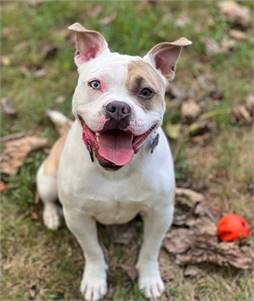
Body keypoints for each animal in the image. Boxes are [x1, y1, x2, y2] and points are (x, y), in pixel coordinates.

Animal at [35, 23, 190, 300]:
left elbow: (150, 250)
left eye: (146, 92)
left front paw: (149, 279)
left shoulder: (160, 213)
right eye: (95, 84)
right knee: (48, 199)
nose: (118, 108)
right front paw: (95, 280)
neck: (117, 171)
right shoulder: (78, 217)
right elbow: (93, 251)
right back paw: (52, 216)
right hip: (47, 179)